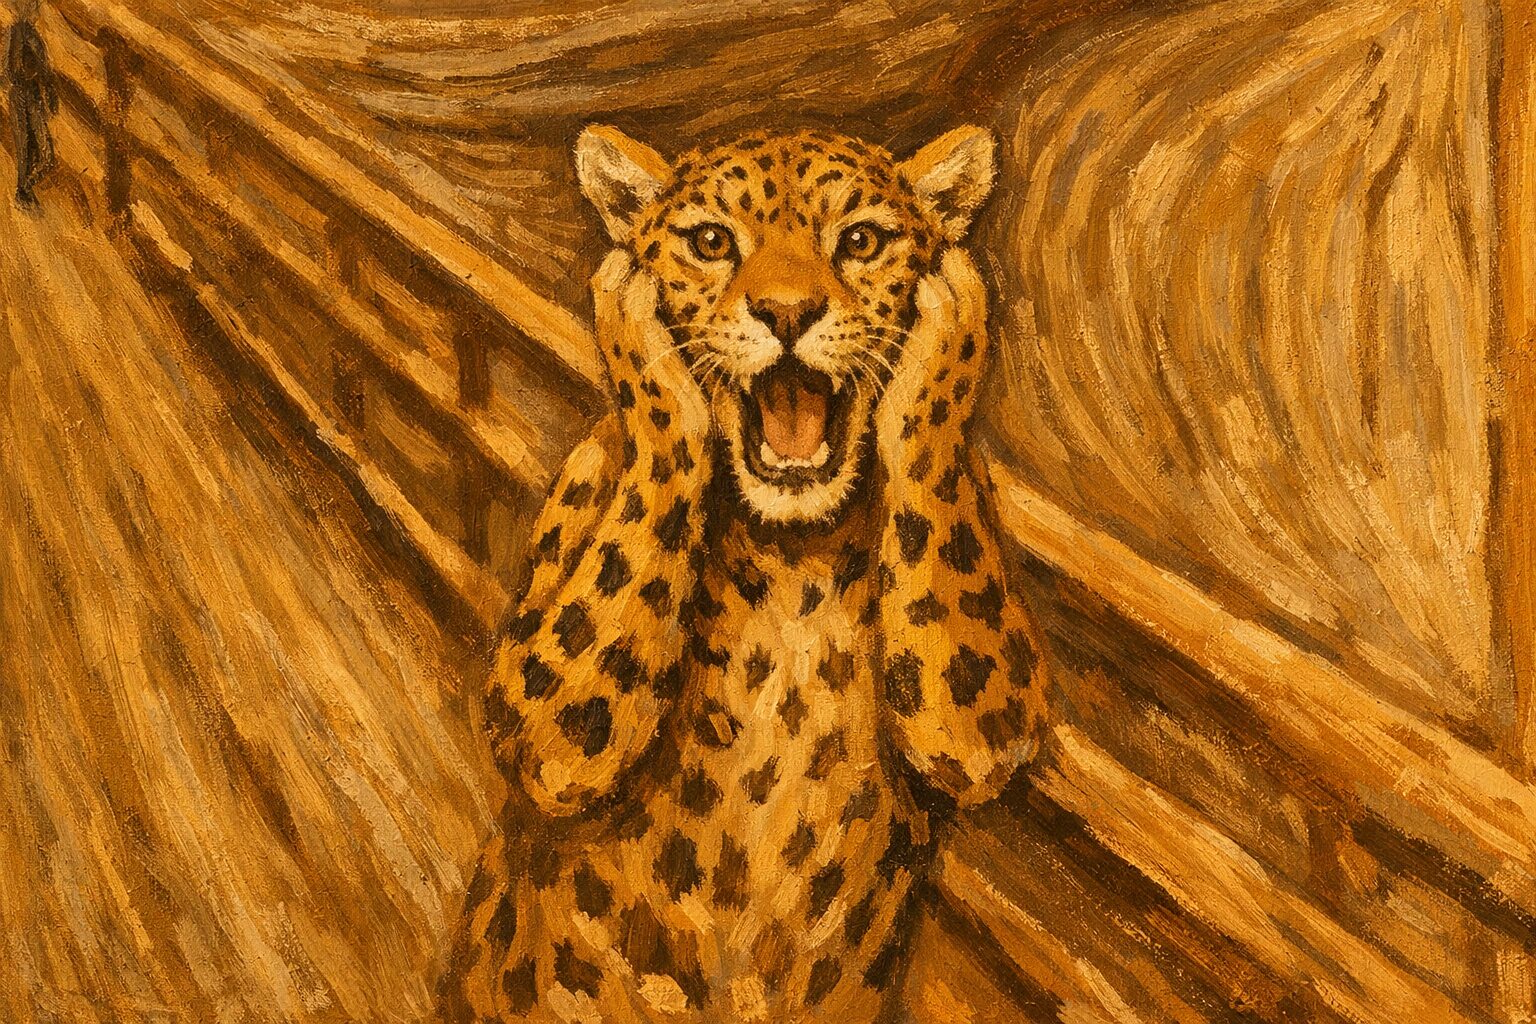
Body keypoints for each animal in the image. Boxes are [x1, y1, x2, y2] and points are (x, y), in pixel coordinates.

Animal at [438, 124, 1049, 1024]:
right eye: (711, 243)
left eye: (859, 242)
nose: (787, 312)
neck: (791, 552)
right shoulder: (541, 709)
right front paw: (626, 304)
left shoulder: (990, 716)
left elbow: (977, 739)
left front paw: (955, 308)